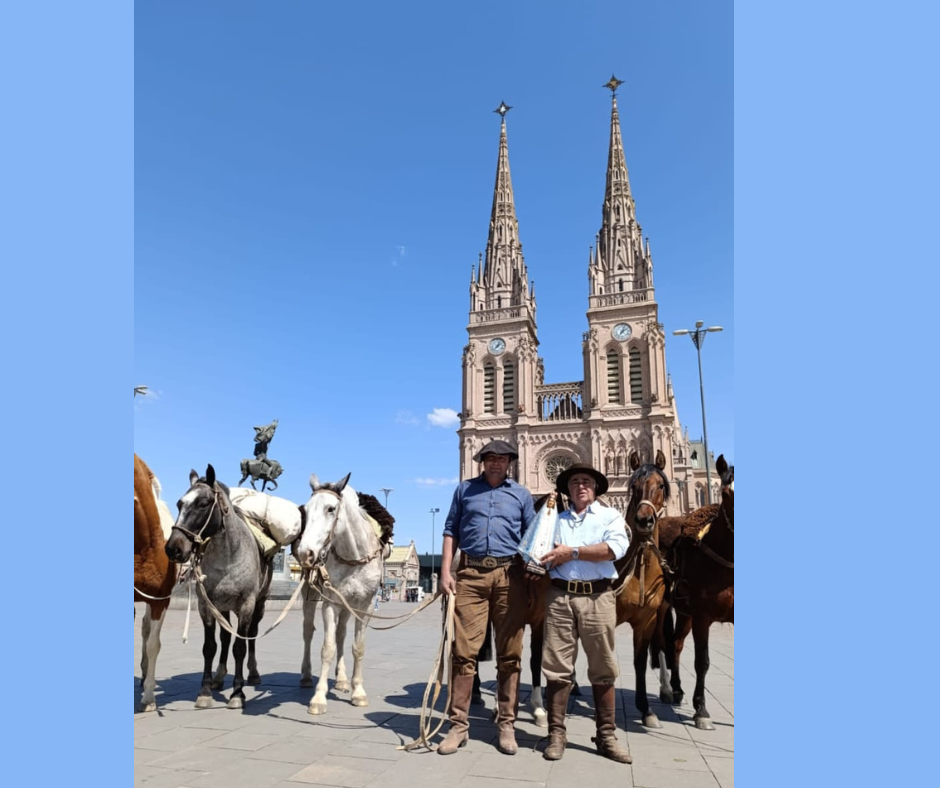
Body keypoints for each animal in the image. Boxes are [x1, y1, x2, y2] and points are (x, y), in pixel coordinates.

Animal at [294, 470, 390, 716]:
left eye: (331, 508)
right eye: (306, 510)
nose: (306, 553)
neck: (353, 556)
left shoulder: (365, 605)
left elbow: (358, 647)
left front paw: (358, 692)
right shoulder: (330, 602)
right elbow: (326, 648)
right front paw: (319, 698)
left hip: (348, 605)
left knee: (341, 634)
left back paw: (342, 680)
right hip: (310, 595)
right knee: (308, 631)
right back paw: (306, 676)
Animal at [660, 452, 736, 728]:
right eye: (725, 492)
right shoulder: (703, 617)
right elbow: (702, 661)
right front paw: (701, 710)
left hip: (684, 614)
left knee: (676, 644)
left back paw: (676, 689)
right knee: (665, 644)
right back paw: (670, 689)